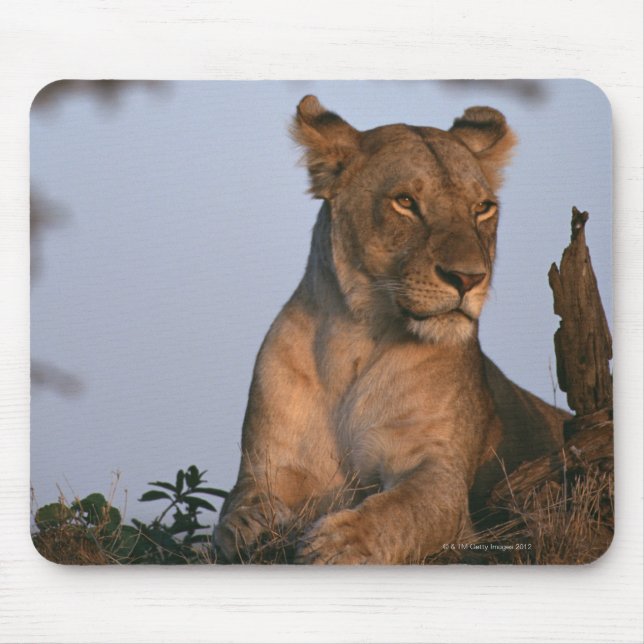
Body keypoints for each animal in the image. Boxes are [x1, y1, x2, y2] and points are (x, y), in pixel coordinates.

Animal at [214, 95, 566, 564]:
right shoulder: (266, 467)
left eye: (483, 208)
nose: (469, 278)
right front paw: (254, 529)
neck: (352, 342)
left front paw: (336, 543)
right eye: (405, 201)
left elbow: (398, 510)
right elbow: (235, 512)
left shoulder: (442, 478)